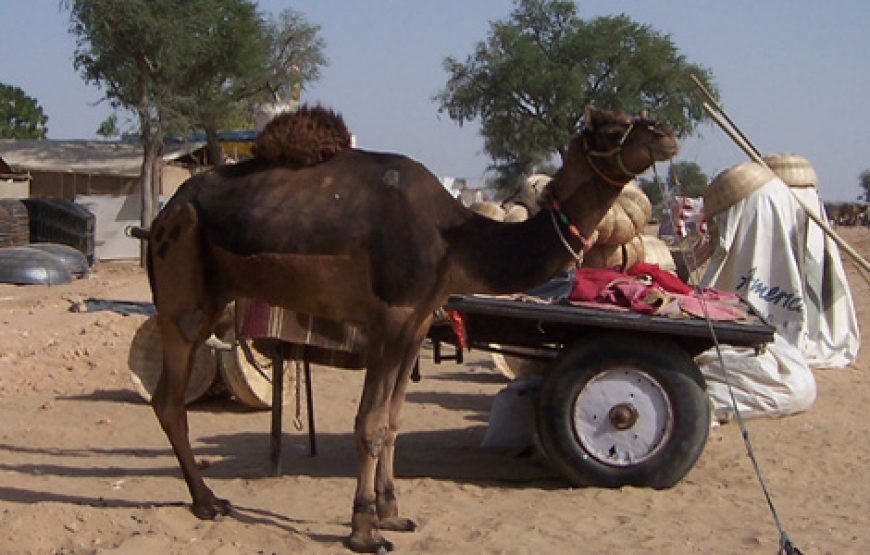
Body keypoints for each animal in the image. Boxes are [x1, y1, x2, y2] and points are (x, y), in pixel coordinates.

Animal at [146, 103, 676, 552]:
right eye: (611, 126)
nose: (665, 134)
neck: (457, 240)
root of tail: (167, 208)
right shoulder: (390, 317)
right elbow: (370, 423)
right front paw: (363, 529)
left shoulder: (418, 323)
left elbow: (395, 419)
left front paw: (392, 513)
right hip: (182, 288)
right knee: (170, 397)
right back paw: (206, 501)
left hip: (212, 296)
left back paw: (209, 497)